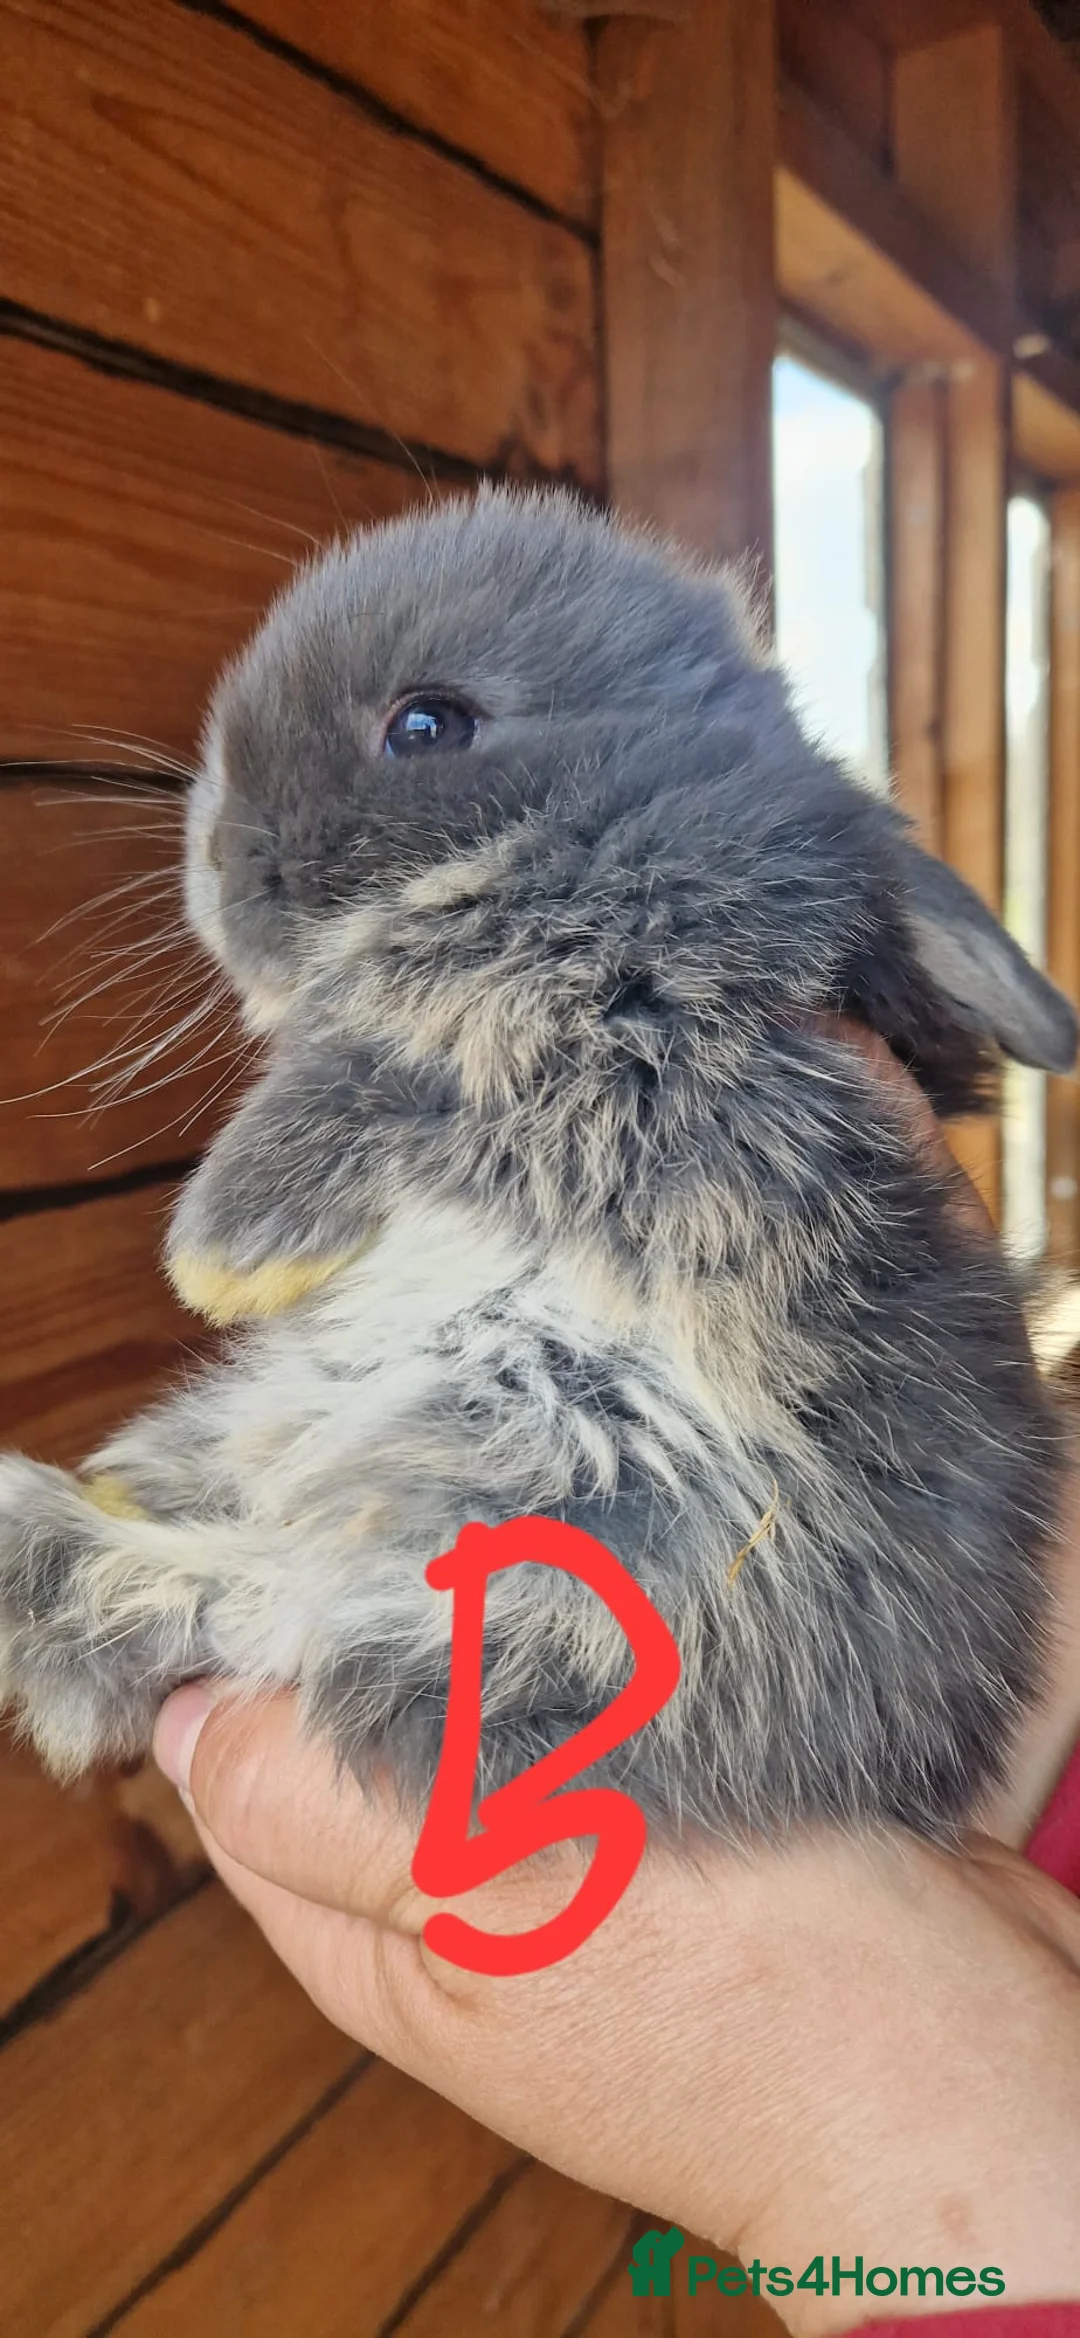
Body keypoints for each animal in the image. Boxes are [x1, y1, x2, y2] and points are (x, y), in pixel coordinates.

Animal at [1, 482, 1077, 1847]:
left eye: (427, 724)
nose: (215, 864)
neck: (590, 820)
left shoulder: (592, 1023)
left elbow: (378, 1075)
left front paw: (214, 1255)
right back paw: (113, 1494)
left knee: (268, 1607)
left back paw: (36, 1540)